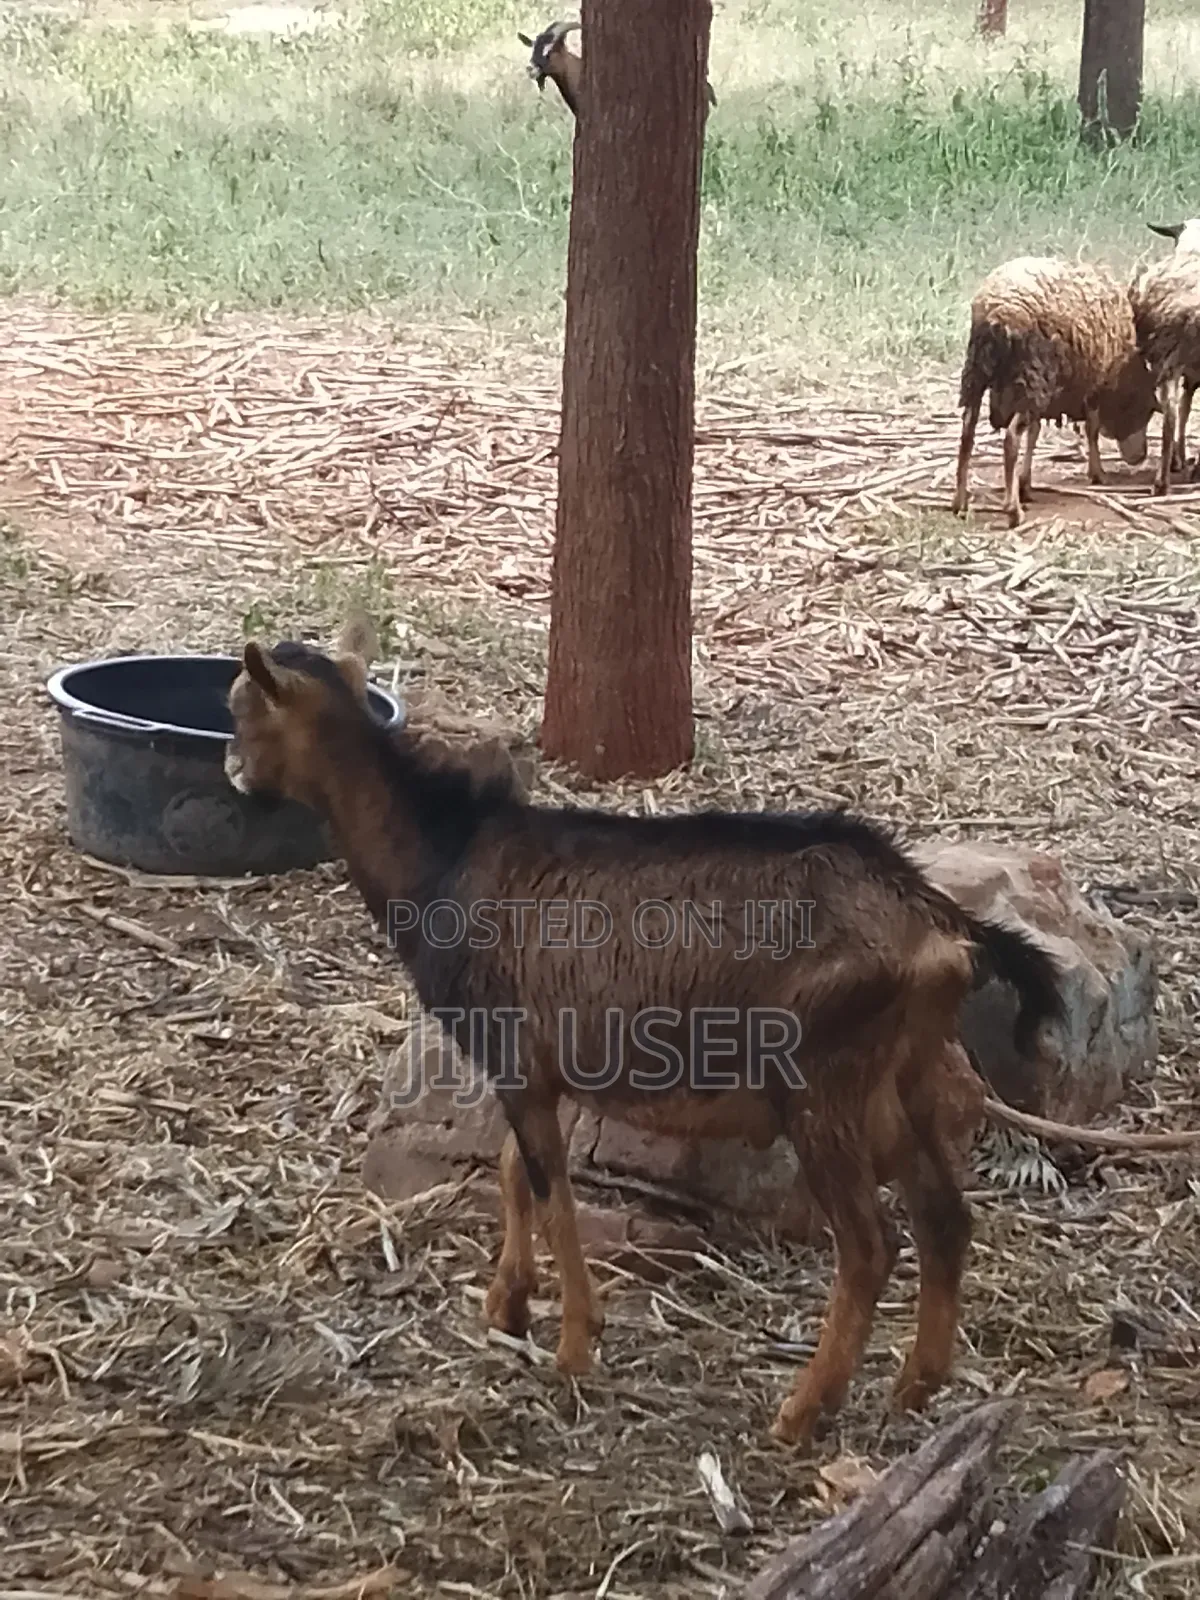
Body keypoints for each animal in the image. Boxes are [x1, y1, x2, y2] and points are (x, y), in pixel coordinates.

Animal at [225, 617, 1065, 1448]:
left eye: (241, 706)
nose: (233, 772)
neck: (444, 859)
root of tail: (939, 923)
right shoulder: (551, 1064)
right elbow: (514, 1171)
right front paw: (509, 1303)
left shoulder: (512, 1052)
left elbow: (551, 1191)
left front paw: (572, 1345)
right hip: (898, 1081)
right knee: (945, 1219)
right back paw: (914, 1388)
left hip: (821, 1082)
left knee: (868, 1246)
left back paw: (803, 1410)